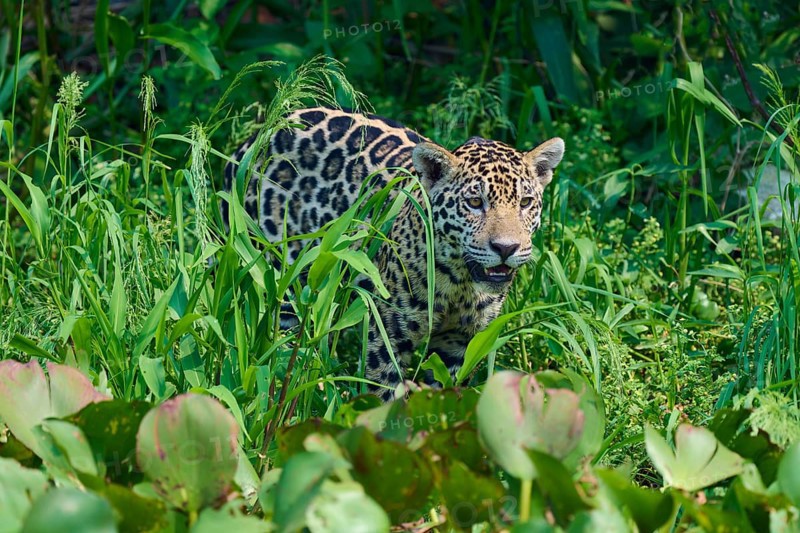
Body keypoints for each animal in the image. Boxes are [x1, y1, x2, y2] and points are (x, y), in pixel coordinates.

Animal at [223, 106, 564, 401]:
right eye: (474, 203)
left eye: (525, 202)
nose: (506, 248)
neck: (460, 282)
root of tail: (254, 139)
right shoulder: (386, 336)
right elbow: (382, 397)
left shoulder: (459, 344)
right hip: (282, 284)